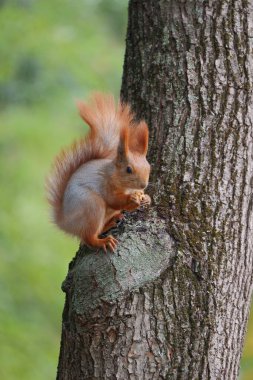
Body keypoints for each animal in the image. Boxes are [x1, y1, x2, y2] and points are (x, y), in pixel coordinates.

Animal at [46, 92, 150, 252]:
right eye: (128, 169)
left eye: (148, 167)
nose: (143, 185)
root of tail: (66, 222)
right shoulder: (106, 184)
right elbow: (114, 200)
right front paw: (131, 199)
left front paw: (144, 197)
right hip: (92, 206)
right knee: (88, 237)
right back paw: (103, 242)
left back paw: (113, 221)